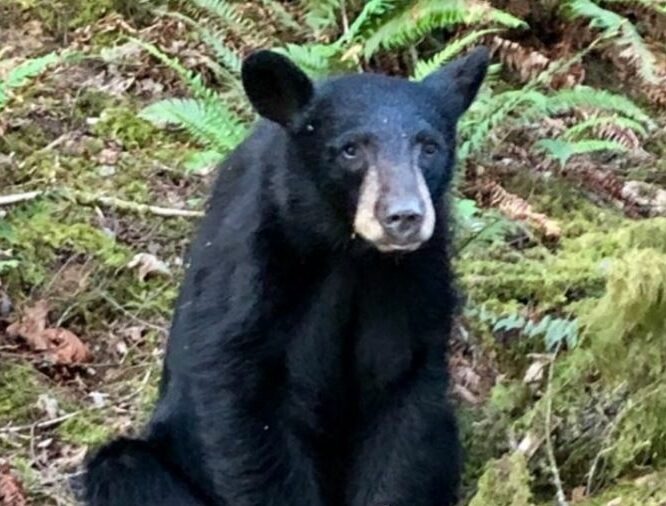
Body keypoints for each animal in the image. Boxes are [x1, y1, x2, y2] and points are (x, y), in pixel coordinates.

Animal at [81, 46, 488, 506]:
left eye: (430, 147)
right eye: (350, 149)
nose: (404, 216)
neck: (349, 252)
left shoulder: (416, 281)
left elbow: (403, 402)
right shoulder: (255, 268)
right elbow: (242, 406)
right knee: (124, 468)